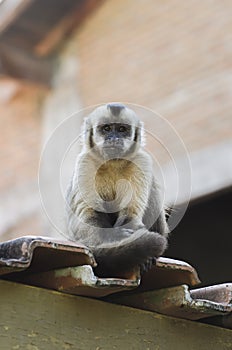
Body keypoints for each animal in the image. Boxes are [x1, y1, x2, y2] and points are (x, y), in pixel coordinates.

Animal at [65, 102, 169, 278]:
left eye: (121, 129)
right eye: (106, 129)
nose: (114, 138)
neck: (112, 163)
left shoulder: (141, 160)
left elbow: (131, 212)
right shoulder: (85, 162)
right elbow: (89, 215)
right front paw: (115, 238)